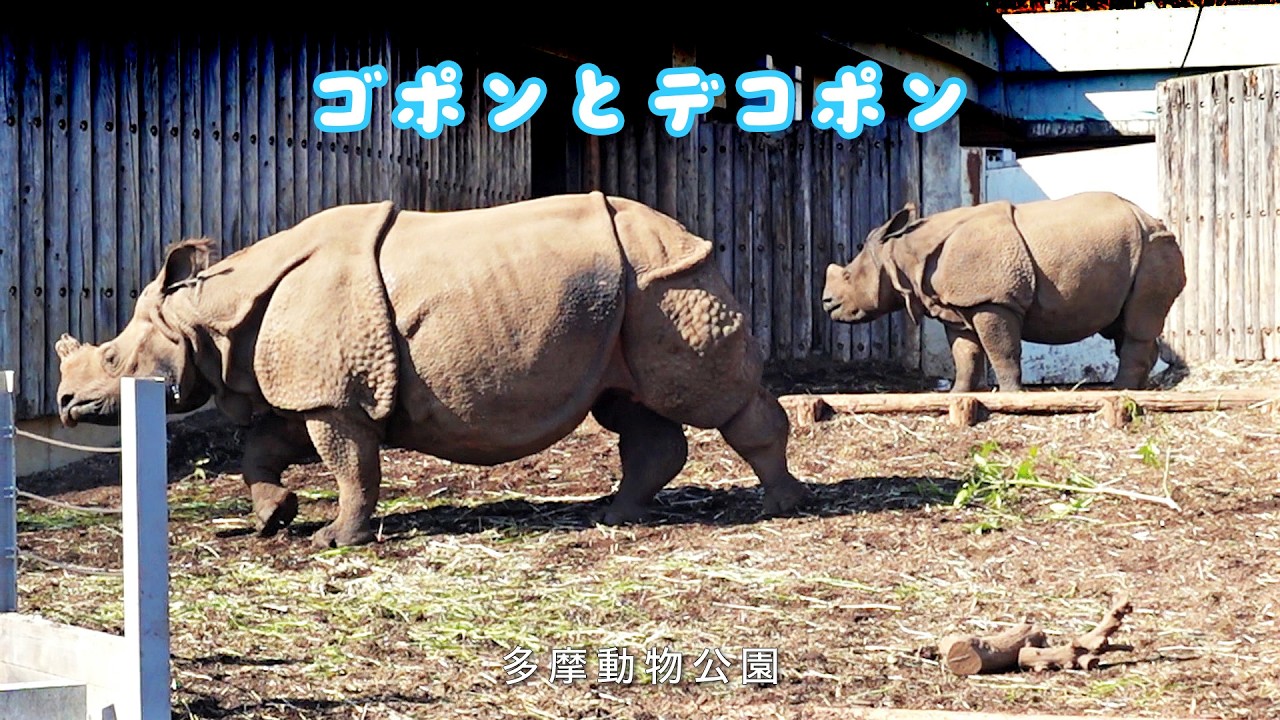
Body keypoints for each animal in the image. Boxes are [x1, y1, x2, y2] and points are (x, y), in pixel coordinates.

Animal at [54, 192, 812, 547]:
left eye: (114, 359)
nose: (63, 404)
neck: (208, 313)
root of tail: (690, 233)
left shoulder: (333, 395)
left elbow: (351, 468)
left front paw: (336, 541)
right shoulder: (313, 390)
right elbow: (262, 451)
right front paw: (273, 519)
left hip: (665, 282)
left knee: (704, 397)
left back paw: (782, 507)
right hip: (623, 298)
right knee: (629, 404)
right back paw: (615, 514)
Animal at [821, 191, 1186, 392]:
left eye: (849, 276)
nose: (826, 303)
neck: (903, 253)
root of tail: (1154, 220)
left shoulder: (991, 301)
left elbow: (1002, 349)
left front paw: (1010, 394)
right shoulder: (957, 306)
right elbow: (965, 354)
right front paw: (957, 395)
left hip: (1154, 249)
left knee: (1137, 321)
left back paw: (1118, 391)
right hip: (1133, 253)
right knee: (1121, 324)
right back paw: (1137, 390)